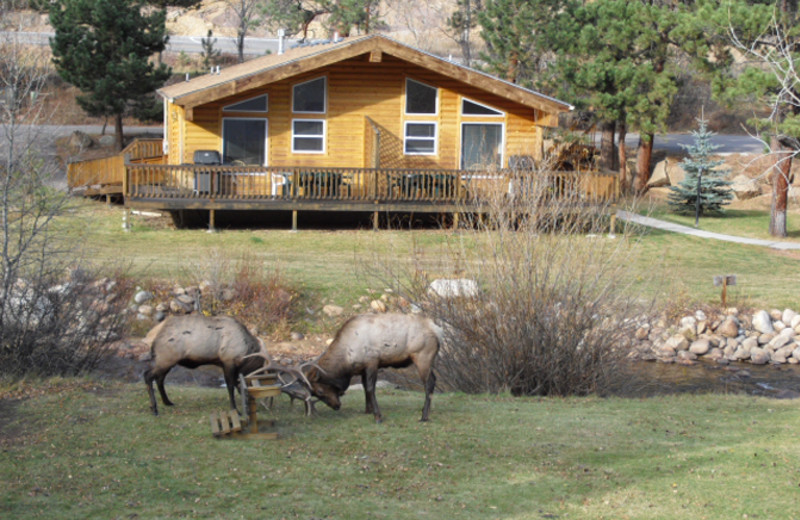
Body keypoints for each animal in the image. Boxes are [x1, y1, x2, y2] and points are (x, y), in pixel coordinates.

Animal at [304, 312, 444, 422]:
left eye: (319, 391)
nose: (336, 406)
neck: (347, 359)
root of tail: (437, 330)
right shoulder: (362, 369)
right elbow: (365, 387)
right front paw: (368, 410)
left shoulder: (372, 362)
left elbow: (371, 388)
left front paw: (377, 416)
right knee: (434, 379)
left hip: (422, 356)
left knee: (429, 383)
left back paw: (424, 416)